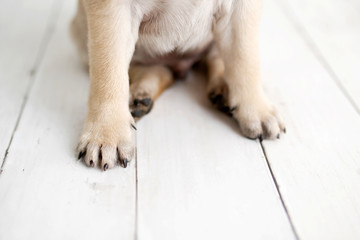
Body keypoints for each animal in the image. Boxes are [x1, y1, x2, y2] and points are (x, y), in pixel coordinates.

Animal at [71, 0, 284, 170]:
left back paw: (223, 91)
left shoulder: (241, 10)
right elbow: (109, 72)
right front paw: (106, 133)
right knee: (156, 70)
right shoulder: (111, 11)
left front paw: (257, 110)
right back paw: (139, 98)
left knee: (215, 59)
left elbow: (245, 59)